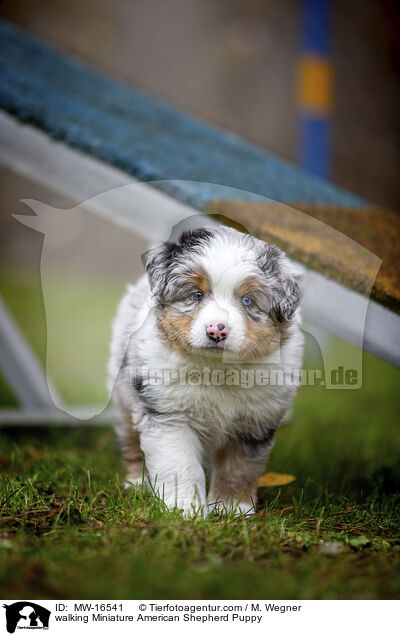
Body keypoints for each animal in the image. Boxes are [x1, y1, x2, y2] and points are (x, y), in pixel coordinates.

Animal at [107, 225, 304, 516]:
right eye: (196, 295)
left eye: (248, 300)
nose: (216, 330)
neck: (216, 369)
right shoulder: (170, 416)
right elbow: (180, 466)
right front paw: (182, 509)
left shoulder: (254, 422)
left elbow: (240, 467)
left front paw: (232, 508)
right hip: (124, 392)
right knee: (130, 438)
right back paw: (137, 482)